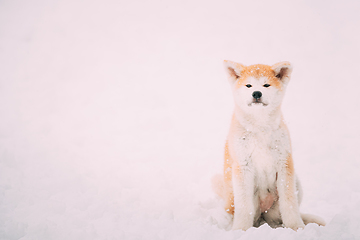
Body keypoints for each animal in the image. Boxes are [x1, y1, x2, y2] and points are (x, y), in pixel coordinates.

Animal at [211, 60, 326, 231]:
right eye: (249, 85)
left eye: (266, 85)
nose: (257, 94)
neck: (260, 128)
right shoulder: (243, 166)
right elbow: (244, 208)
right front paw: (240, 230)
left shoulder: (284, 163)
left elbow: (289, 204)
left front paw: (296, 228)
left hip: (295, 183)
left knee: (277, 218)